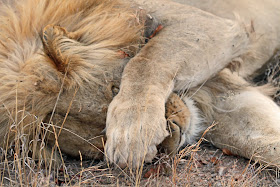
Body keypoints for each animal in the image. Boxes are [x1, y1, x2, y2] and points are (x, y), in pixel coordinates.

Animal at [0, 0, 280, 169]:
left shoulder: (212, 25)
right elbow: (259, 140)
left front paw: (133, 132)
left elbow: (146, 60)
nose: (175, 132)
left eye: (116, 90)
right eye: (99, 143)